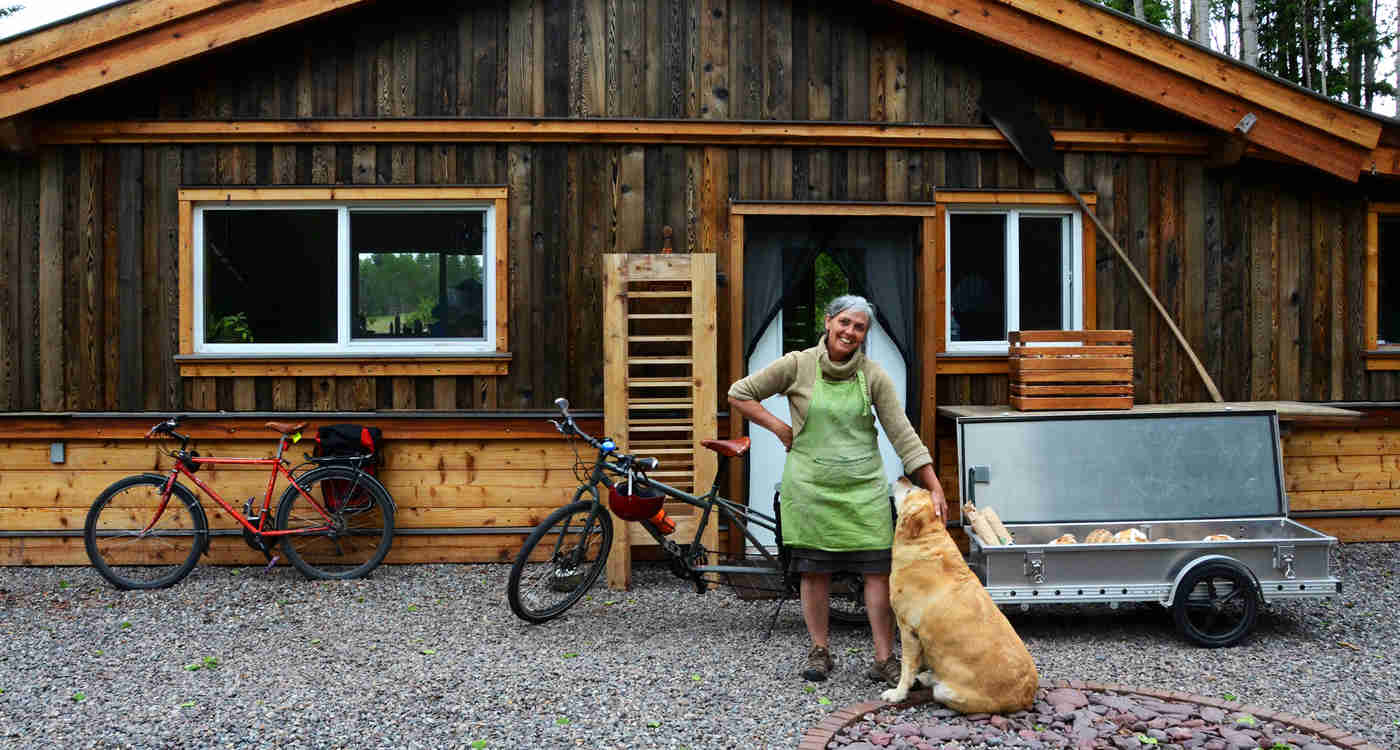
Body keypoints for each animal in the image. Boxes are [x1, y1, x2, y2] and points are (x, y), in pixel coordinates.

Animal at [884, 478, 1041, 710]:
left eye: (910, 490)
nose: (901, 477)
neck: (925, 539)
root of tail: (1027, 696)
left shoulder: (908, 629)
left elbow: (907, 668)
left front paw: (898, 693)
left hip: (945, 692)